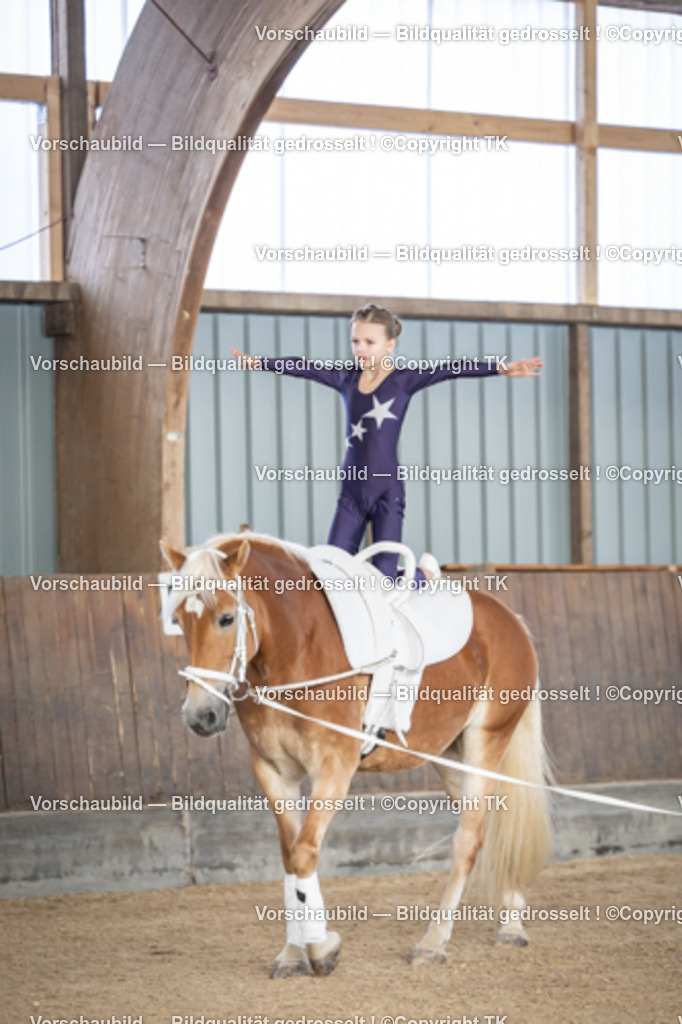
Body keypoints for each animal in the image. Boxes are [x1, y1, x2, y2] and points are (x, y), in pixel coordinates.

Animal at [161, 532, 551, 978]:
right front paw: (293, 954)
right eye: (178, 620)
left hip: (486, 741)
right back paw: (510, 923)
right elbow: (289, 856)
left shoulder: (334, 767)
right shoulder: (274, 771)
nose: (200, 716)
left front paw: (320, 949)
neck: (299, 647)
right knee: (494, 825)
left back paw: (436, 942)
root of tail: (510, 619)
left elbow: (305, 853)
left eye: (226, 618)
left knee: (468, 839)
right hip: (452, 758)